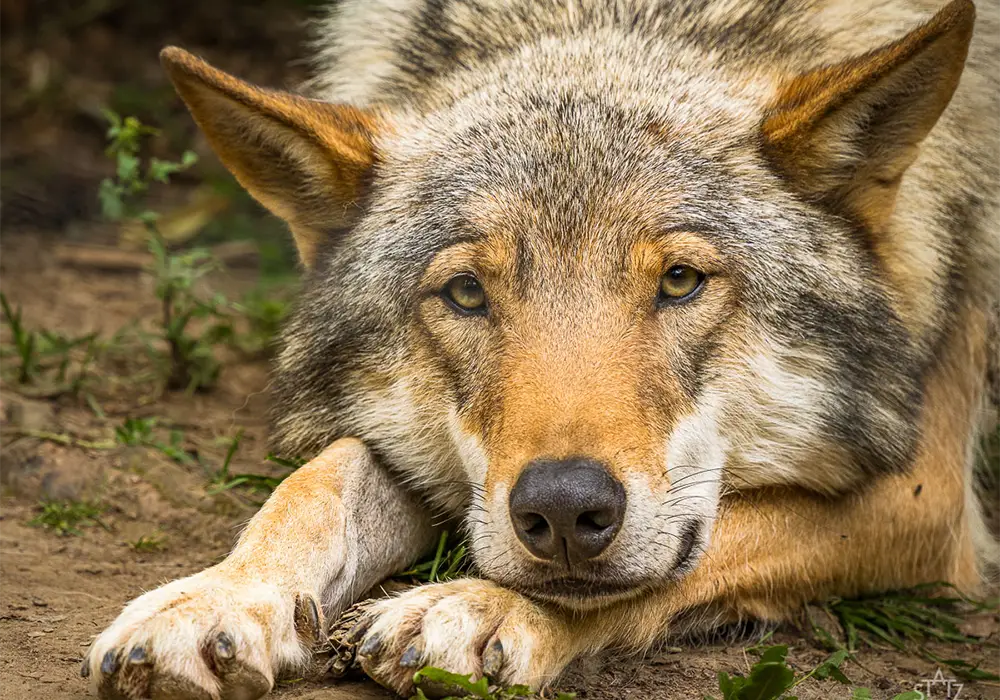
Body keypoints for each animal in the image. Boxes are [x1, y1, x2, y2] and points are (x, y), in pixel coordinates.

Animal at [84, 0, 1000, 697]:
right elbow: (317, 482)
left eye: (679, 281)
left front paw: (483, 608)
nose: (563, 508)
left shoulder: (924, 496)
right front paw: (214, 600)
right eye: (466, 293)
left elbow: (698, 552)